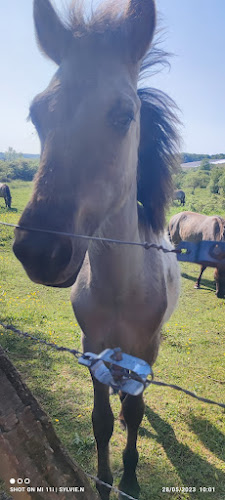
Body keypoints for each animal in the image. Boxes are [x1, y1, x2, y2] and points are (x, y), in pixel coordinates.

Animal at [13, 1, 180, 498]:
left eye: (124, 115)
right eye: (36, 115)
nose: (40, 250)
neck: (120, 287)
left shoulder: (145, 349)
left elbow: (134, 414)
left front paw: (130, 479)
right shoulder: (93, 348)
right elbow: (102, 420)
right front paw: (107, 481)